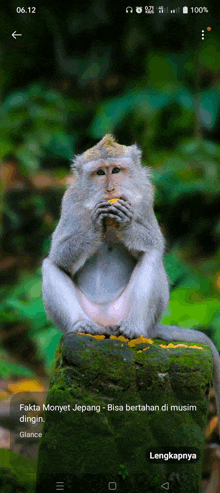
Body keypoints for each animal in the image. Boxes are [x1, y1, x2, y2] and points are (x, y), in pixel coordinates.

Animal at [42, 135, 220, 430]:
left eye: (116, 170)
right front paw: (95, 225)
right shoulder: (70, 202)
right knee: (49, 266)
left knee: (152, 257)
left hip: (137, 316)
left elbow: (153, 243)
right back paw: (81, 325)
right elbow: (59, 257)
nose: (110, 188)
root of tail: (106, 322)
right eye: (100, 173)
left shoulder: (145, 197)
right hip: (88, 317)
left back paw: (132, 329)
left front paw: (126, 224)